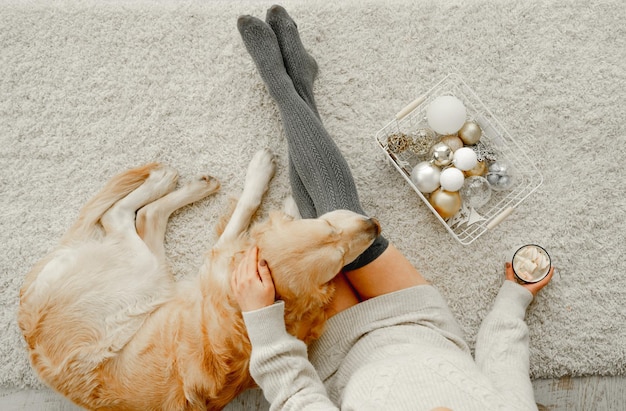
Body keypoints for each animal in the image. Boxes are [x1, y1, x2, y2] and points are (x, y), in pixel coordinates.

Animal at [18, 150, 380, 411]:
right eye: (330, 233)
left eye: (340, 260)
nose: (375, 227)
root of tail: (28, 322)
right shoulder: (222, 255)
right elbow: (251, 208)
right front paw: (275, 189)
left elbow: (248, 208)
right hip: (147, 272)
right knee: (125, 215)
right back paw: (172, 181)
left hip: (149, 273)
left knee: (132, 215)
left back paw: (172, 181)